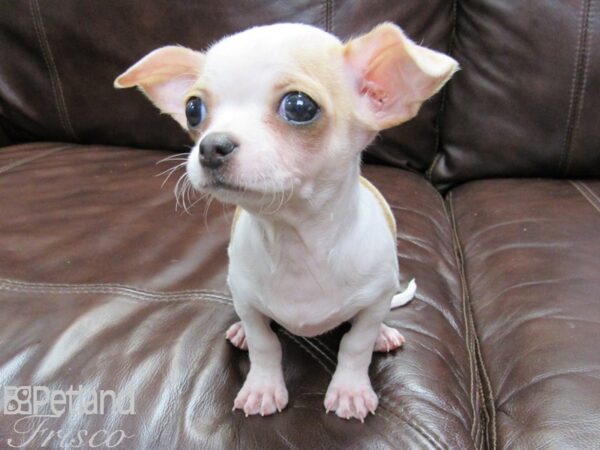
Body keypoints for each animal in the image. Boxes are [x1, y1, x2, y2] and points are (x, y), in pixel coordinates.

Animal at [115, 22, 458, 422]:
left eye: (299, 106)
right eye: (193, 109)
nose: (211, 146)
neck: (295, 238)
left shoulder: (374, 301)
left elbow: (355, 344)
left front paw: (350, 390)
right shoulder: (247, 299)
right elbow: (265, 344)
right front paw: (263, 387)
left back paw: (383, 335)